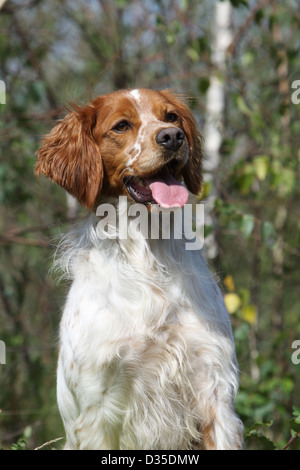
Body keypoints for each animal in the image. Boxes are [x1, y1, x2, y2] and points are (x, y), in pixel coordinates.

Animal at [35, 89, 243, 452]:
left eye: (171, 117)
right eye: (121, 125)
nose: (172, 137)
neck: (147, 258)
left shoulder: (216, 388)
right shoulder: (96, 408)